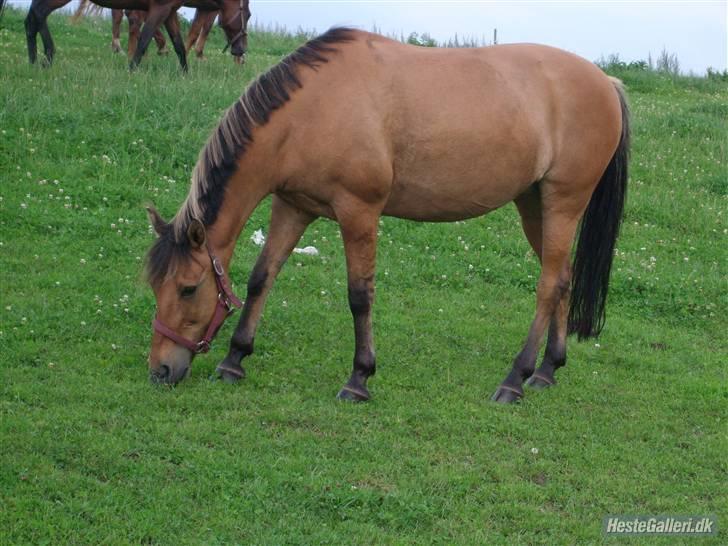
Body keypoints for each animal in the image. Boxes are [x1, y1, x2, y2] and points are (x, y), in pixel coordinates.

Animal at [25, 0, 250, 70]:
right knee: (38, 14)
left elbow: (179, 44)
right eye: (247, 15)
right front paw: (132, 69)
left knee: (32, 19)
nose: (241, 51)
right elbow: (144, 39)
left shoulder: (169, 11)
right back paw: (46, 57)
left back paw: (35, 60)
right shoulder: (160, 9)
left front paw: (186, 73)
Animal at [144, 28, 630, 404]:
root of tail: (606, 81)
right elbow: (262, 277)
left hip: (563, 202)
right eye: (155, 286)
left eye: (188, 289)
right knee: (562, 277)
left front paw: (359, 378)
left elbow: (360, 295)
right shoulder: (294, 206)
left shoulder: (358, 210)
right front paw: (235, 359)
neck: (313, 109)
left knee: (547, 286)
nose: (160, 371)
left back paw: (515, 379)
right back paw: (547, 370)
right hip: (534, 205)